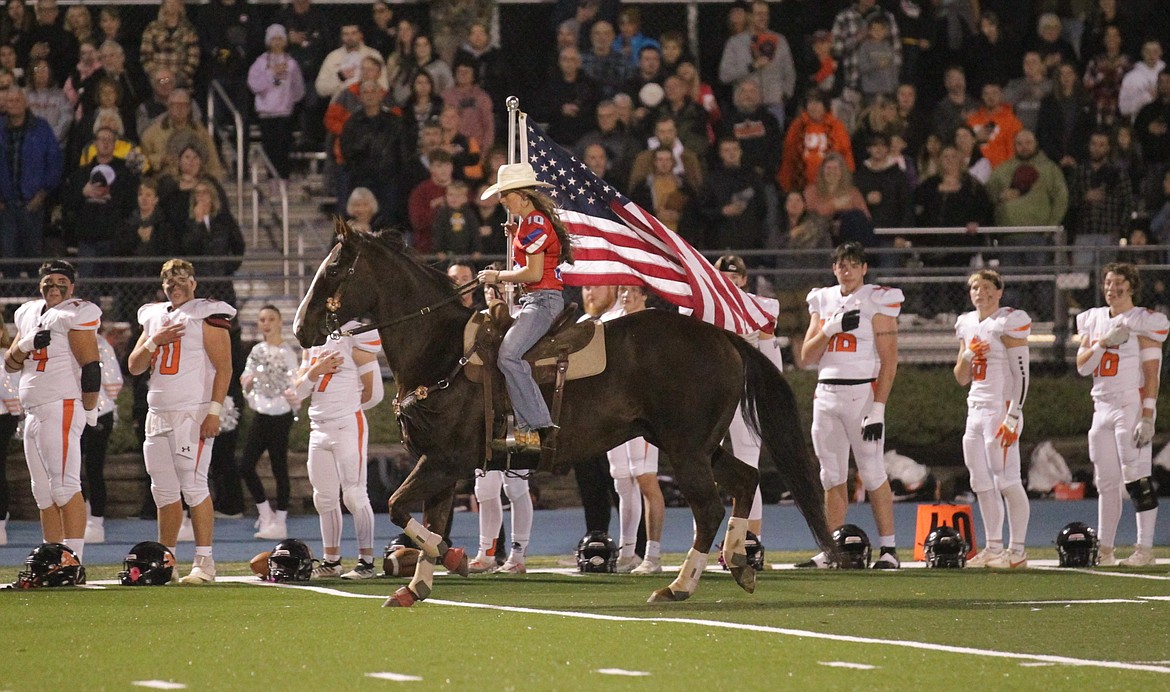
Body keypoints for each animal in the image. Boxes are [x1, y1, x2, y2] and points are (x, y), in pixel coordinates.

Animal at [292, 227, 837, 608]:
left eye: (335, 268)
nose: (300, 328)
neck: (443, 351)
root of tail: (723, 336)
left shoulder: (444, 462)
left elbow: (399, 508)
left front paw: (454, 560)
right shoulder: (439, 466)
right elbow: (428, 519)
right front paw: (416, 587)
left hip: (685, 451)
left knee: (706, 507)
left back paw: (679, 586)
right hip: (700, 445)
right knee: (745, 481)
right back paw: (739, 562)